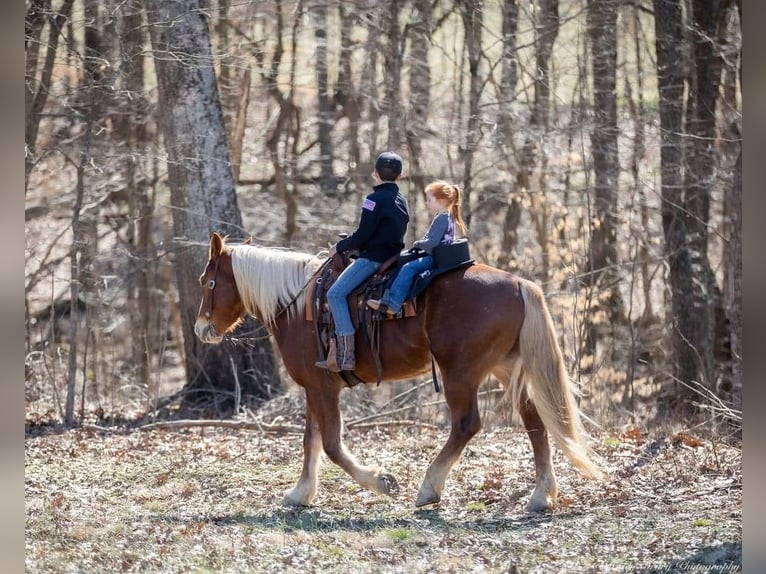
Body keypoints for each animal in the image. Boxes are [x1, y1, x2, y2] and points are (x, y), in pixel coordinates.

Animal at [195, 233, 604, 512]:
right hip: (507, 368)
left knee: (466, 424)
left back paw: (429, 488)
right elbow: (311, 440)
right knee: (534, 420)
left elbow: (331, 445)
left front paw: (382, 482)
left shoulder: (322, 389)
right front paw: (300, 493)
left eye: (208, 282)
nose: (201, 329)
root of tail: (520, 284)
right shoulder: (315, 387)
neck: (298, 305)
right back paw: (541, 494)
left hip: (460, 373)